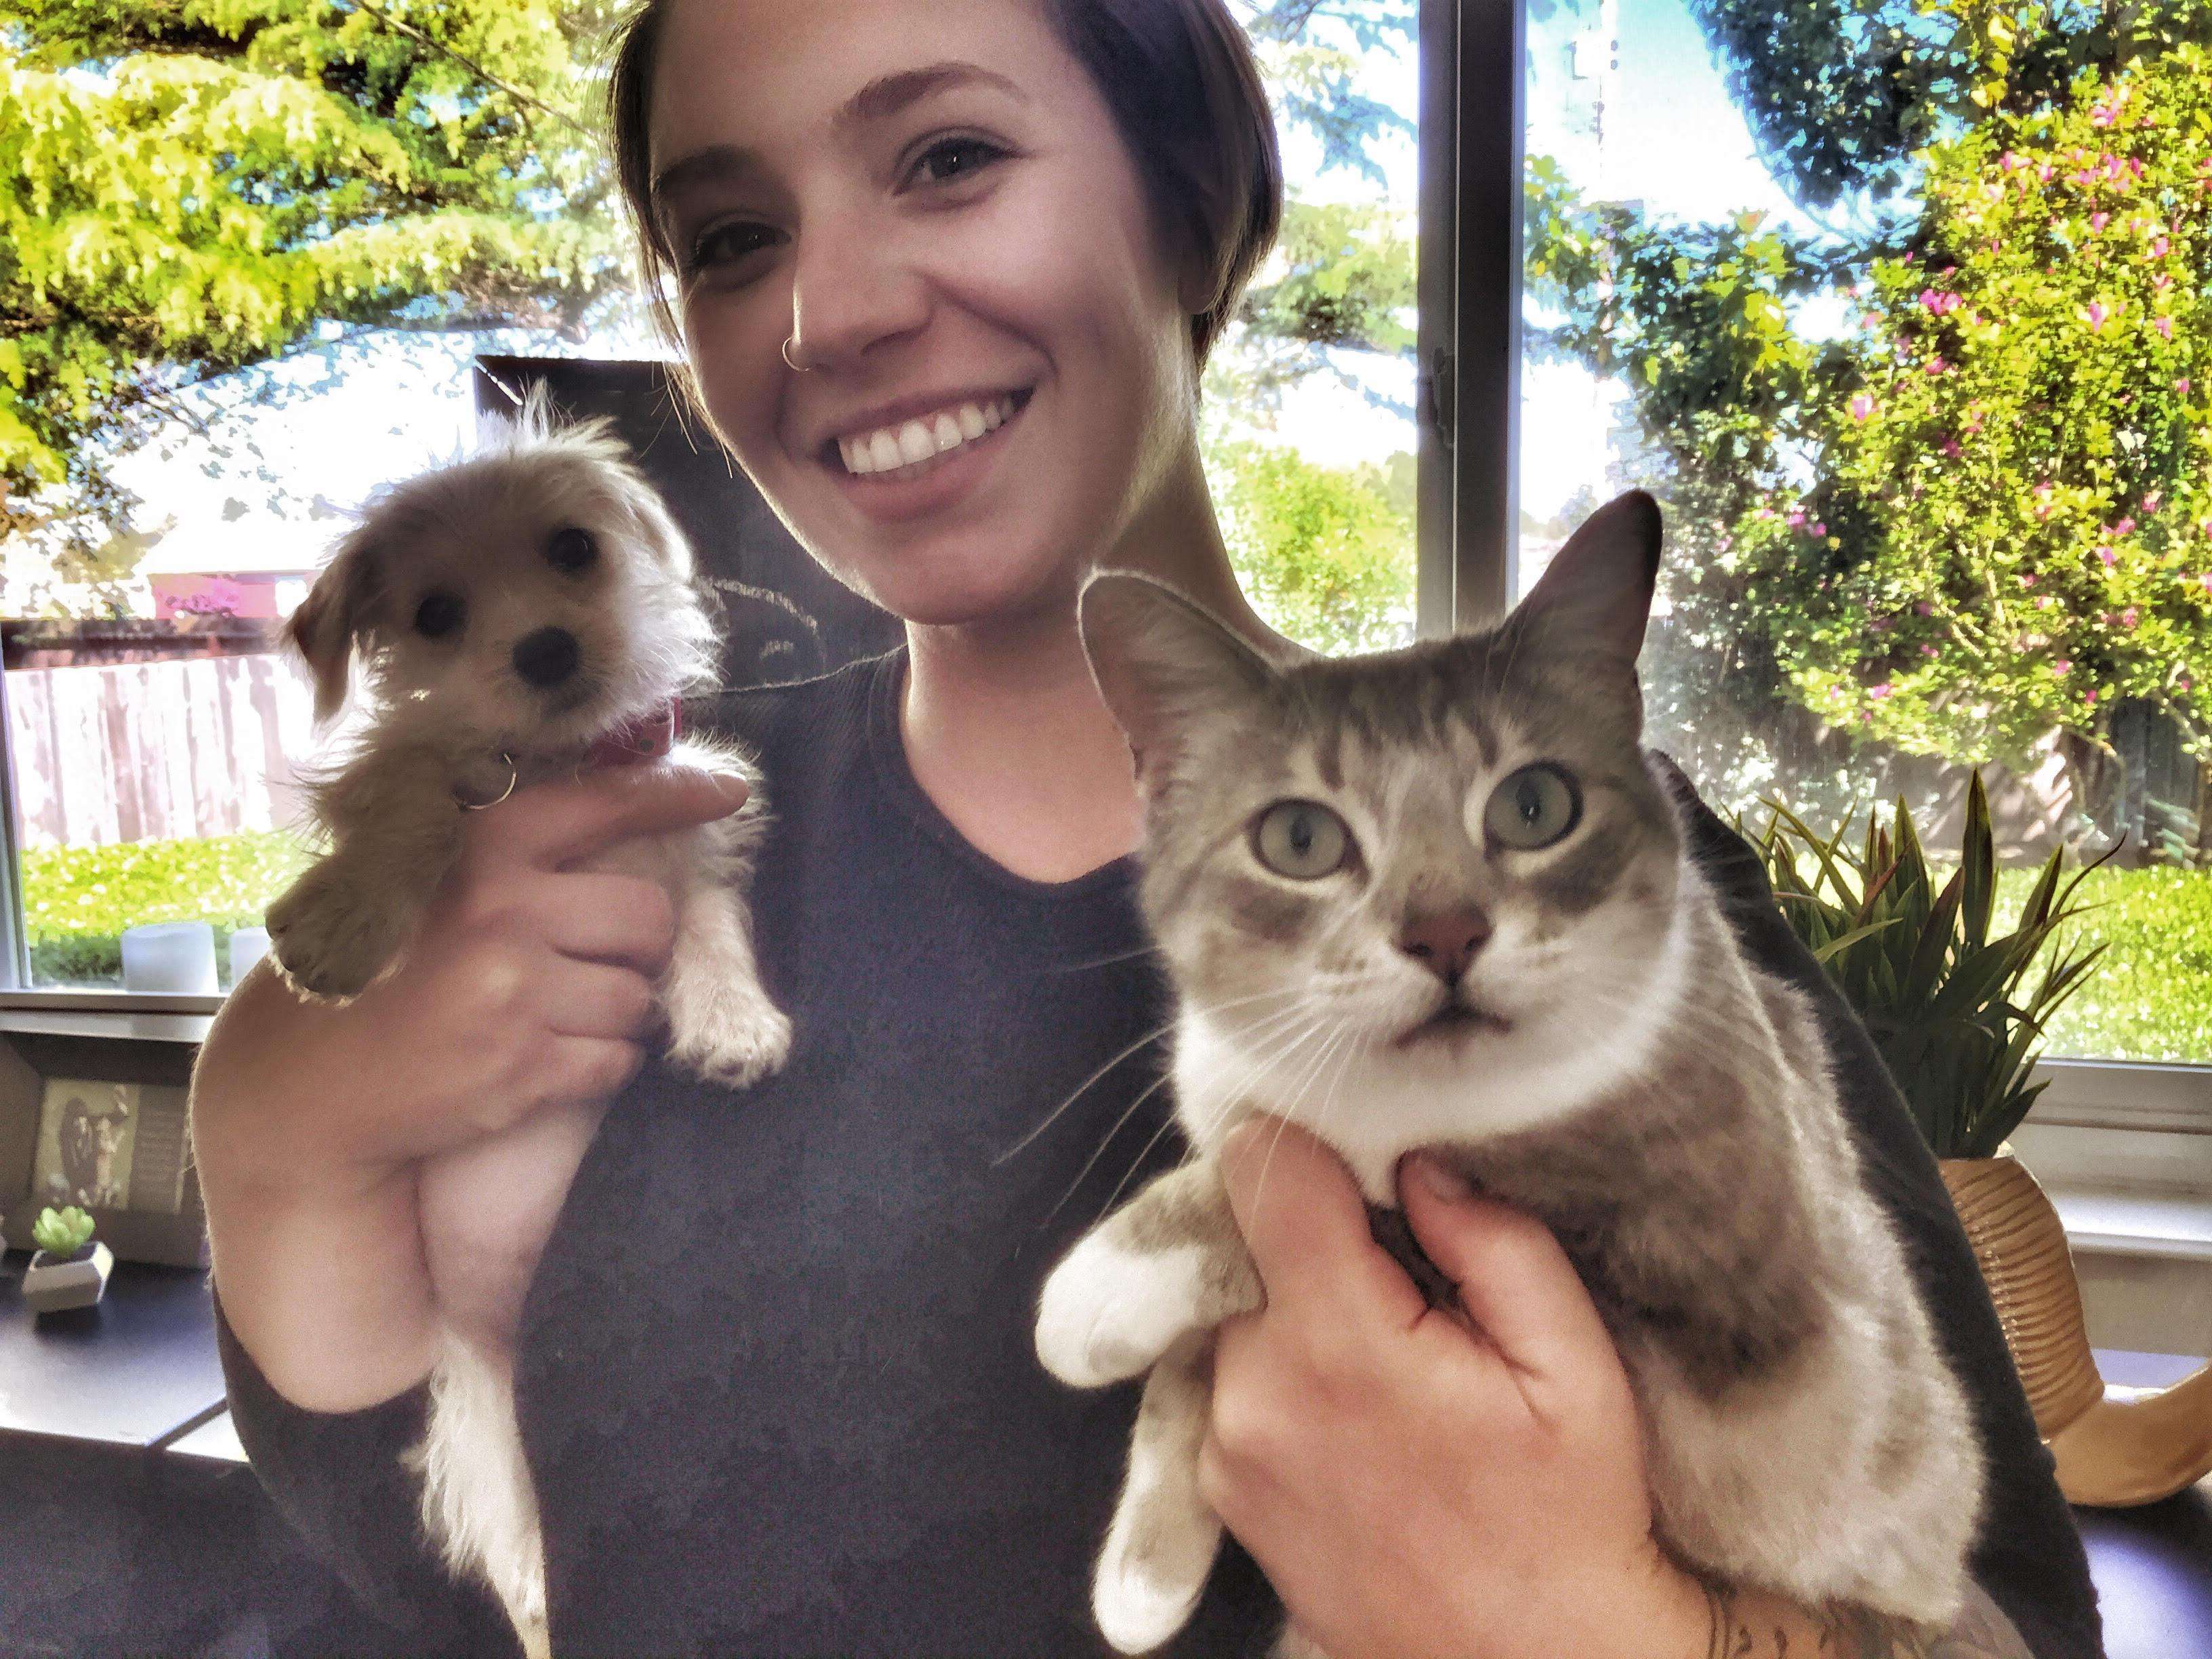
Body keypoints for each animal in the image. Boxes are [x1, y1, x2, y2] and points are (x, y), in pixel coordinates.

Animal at [267, 400, 792, 1659]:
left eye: (572, 549)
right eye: (434, 614)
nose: (543, 649)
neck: (561, 766)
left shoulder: (692, 838)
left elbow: (709, 922)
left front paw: (732, 1017)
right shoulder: (406, 773)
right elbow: (418, 789)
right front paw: (344, 920)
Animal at [1035, 493, 1990, 1659]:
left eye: (1535, 806)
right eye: (1299, 837)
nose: (1445, 933)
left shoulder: (1707, 1249)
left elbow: (1379, 1193)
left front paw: (1093, 1293)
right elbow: (1196, 1366)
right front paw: (1145, 1571)